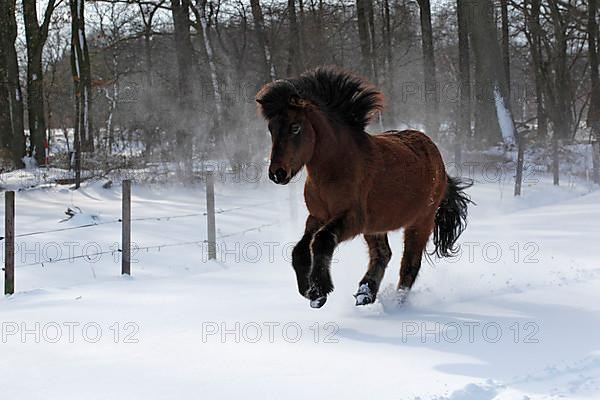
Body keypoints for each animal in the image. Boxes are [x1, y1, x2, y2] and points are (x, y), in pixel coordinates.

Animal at [255, 66, 472, 310]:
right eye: (271, 128)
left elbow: (321, 241)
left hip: (420, 222)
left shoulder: (352, 218)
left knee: (409, 265)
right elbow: (300, 249)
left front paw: (319, 291)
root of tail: (438, 162)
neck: (333, 169)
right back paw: (365, 293)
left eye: (295, 127)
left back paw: (395, 303)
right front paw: (308, 290)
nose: (277, 173)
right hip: (375, 226)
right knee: (382, 254)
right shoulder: (318, 216)